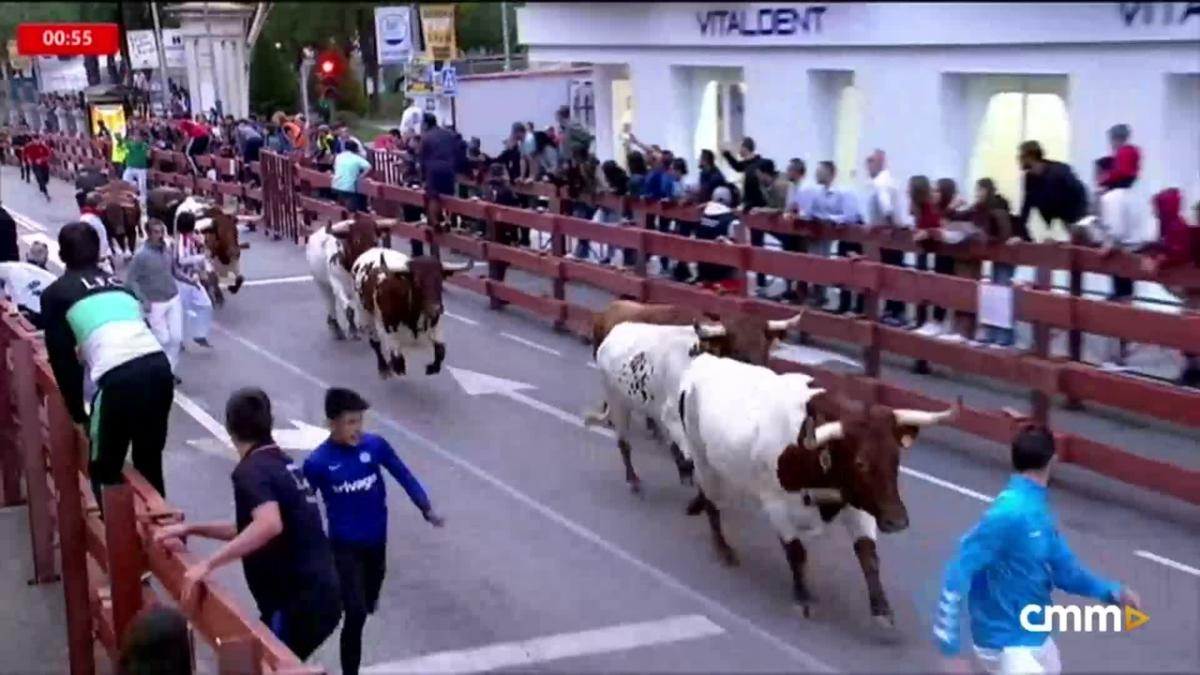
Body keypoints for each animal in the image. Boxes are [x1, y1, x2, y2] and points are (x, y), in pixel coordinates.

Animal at [681, 353, 960, 624]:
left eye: (896, 457)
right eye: (860, 462)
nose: (897, 521)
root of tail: (705, 360)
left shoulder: (857, 503)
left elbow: (868, 554)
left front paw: (881, 608)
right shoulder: (776, 505)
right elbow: (796, 552)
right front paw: (803, 597)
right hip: (701, 456)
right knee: (712, 500)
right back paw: (723, 548)